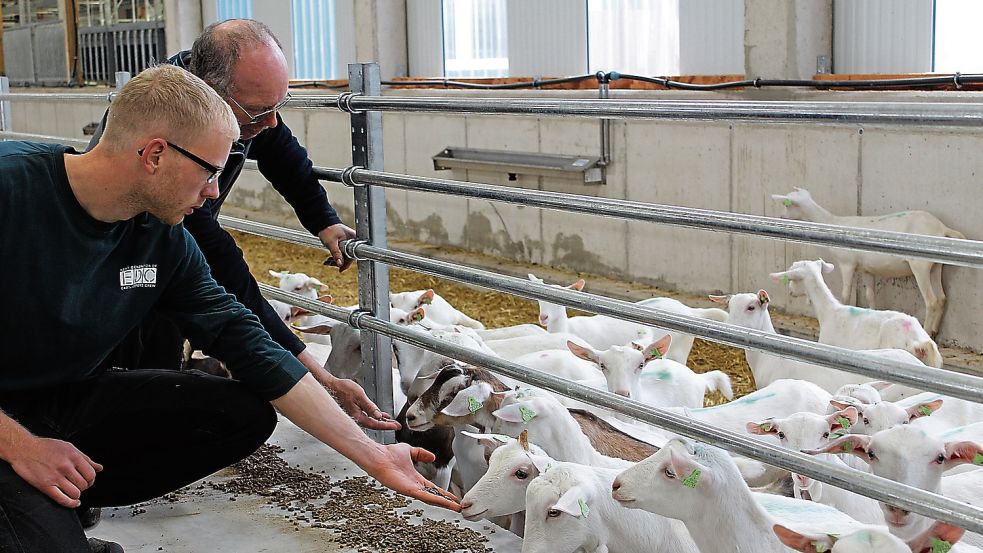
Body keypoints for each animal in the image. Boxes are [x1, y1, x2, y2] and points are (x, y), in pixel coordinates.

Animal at [772, 189, 964, 336]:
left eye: (787, 204)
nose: (780, 216)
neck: (834, 222)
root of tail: (941, 228)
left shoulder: (847, 264)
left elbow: (845, 295)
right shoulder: (867, 269)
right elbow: (870, 295)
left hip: (920, 265)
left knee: (931, 301)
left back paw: (927, 331)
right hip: (936, 266)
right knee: (942, 298)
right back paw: (935, 331)